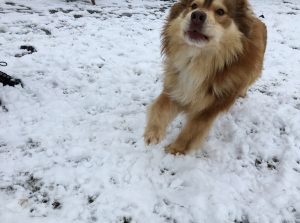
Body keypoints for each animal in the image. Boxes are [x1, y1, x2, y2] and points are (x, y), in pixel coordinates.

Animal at [144, 0, 268, 154]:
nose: (197, 16)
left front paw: (176, 149)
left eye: (220, 12)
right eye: (194, 6)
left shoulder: (212, 106)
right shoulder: (177, 87)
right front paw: (153, 133)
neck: (197, 62)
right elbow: (159, 107)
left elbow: (193, 129)